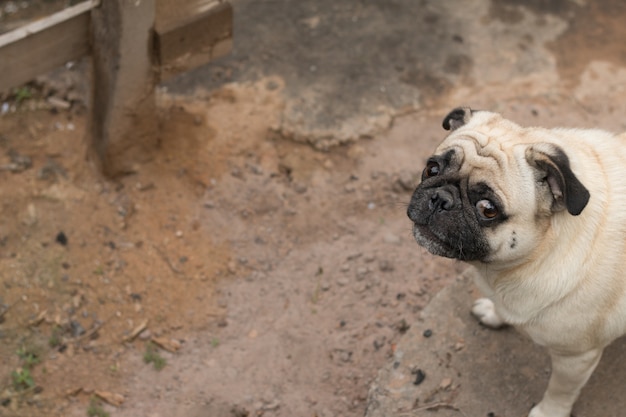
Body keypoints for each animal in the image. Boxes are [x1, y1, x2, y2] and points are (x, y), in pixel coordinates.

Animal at [404, 108, 624, 416]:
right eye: (431, 169)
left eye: (488, 209)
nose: (440, 198)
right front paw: (493, 312)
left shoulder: (576, 357)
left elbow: (560, 390)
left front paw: (548, 412)